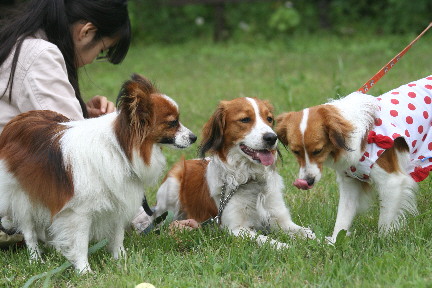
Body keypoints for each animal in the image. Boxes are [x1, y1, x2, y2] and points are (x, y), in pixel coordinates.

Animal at [0, 73, 197, 272]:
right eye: (172, 123)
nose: (194, 137)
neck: (121, 149)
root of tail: (14, 123)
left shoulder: (118, 203)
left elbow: (117, 236)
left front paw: (121, 260)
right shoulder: (79, 212)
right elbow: (79, 243)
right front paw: (84, 270)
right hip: (23, 199)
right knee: (29, 231)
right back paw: (36, 259)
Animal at [154, 96, 316, 248]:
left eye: (269, 119)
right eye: (245, 119)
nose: (272, 137)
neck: (250, 178)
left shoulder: (281, 218)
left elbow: (308, 233)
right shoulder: (237, 228)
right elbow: (268, 241)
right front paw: (287, 247)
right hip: (172, 187)